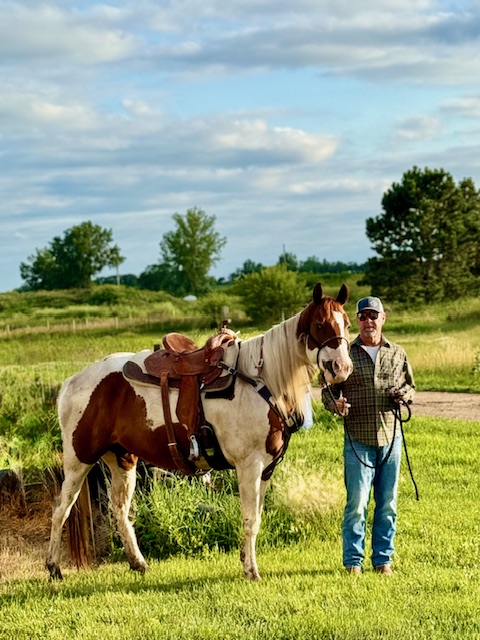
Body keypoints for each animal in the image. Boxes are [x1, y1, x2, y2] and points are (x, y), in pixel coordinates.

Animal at [46, 283, 353, 582]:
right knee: (61, 509)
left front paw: (246, 561)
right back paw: (54, 568)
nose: (342, 368)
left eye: (347, 324)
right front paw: (251, 571)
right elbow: (249, 520)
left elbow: (257, 517)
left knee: (120, 509)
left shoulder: (267, 468)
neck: (261, 381)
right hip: (79, 460)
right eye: (320, 324)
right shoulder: (249, 465)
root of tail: (72, 382)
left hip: (122, 460)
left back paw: (138, 563)